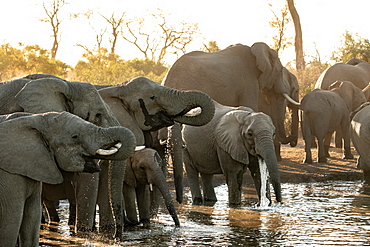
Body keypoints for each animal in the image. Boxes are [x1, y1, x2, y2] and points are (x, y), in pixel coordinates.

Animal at [0, 111, 136, 247]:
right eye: (74, 136)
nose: (115, 239)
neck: (35, 119)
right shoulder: (9, 176)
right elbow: (11, 220)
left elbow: (32, 217)